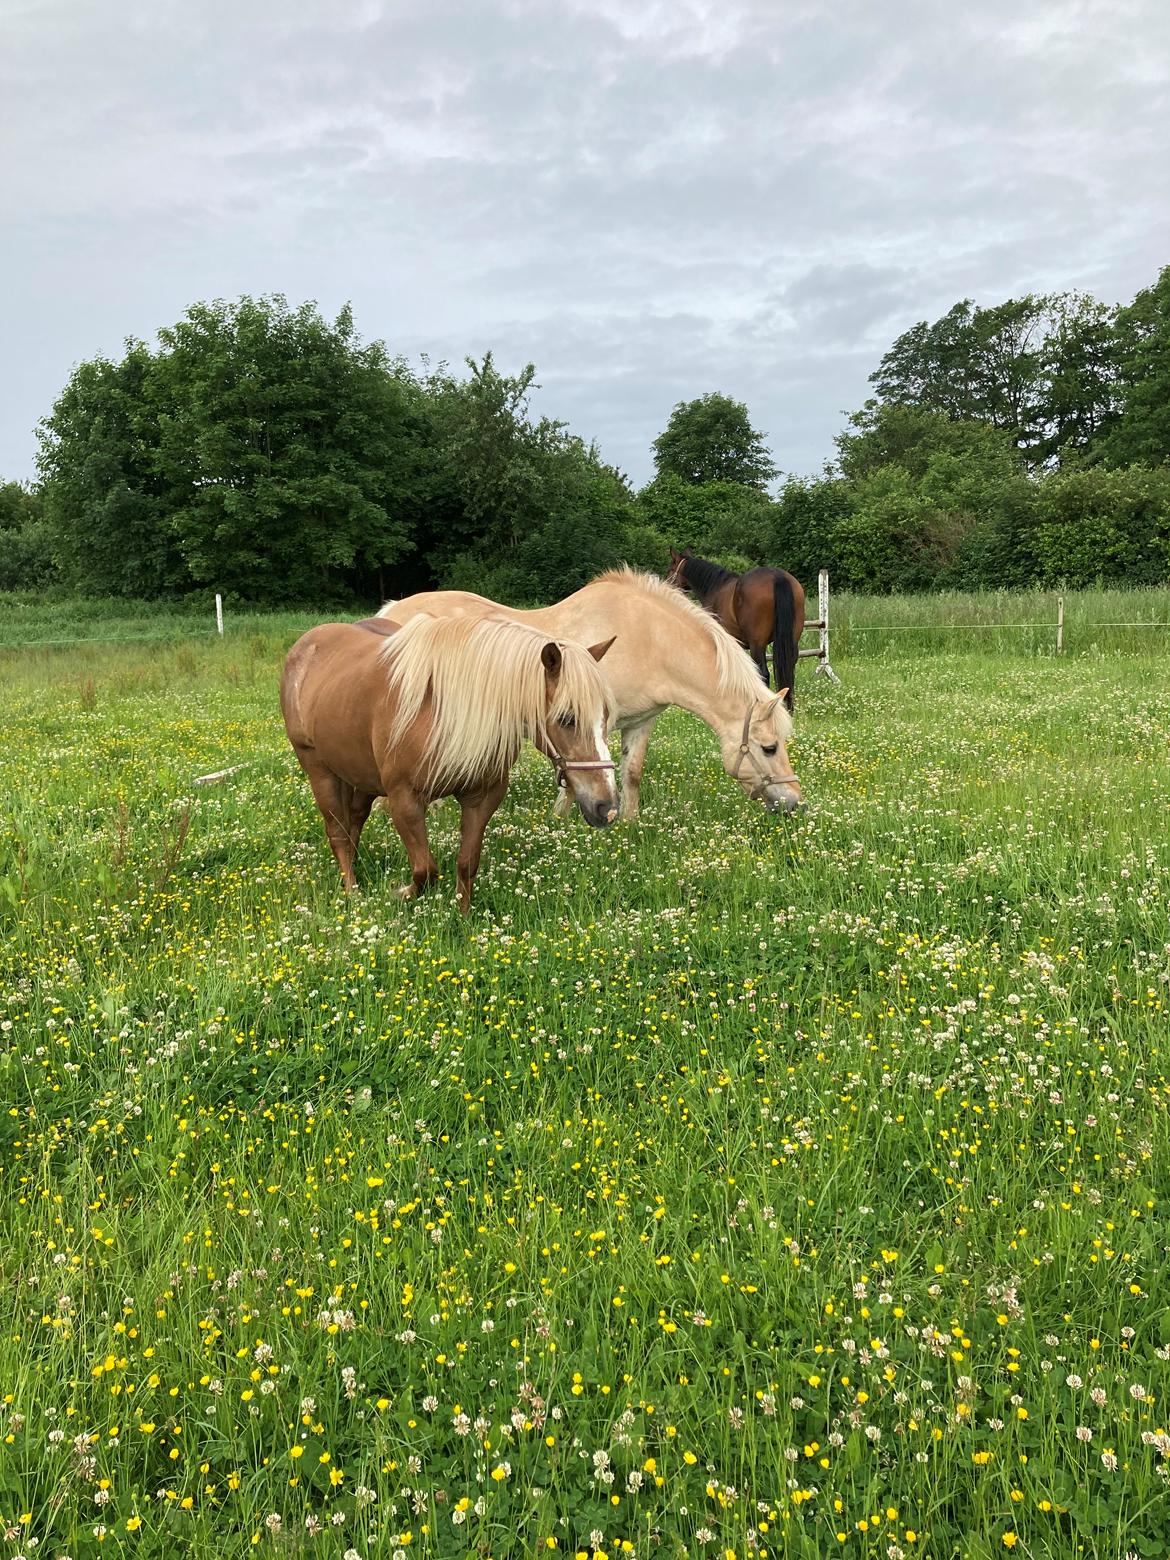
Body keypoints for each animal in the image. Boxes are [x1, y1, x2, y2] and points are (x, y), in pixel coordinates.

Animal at [280, 611, 617, 911]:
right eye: (567, 718)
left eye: (605, 715)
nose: (607, 807)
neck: (443, 709)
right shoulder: (405, 800)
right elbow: (425, 870)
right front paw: (399, 893)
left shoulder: (481, 798)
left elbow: (467, 864)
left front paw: (463, 918)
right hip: (319, 770)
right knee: (337, 832)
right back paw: (353, 892)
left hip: (361, 776)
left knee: (354, 822)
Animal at [380, 570, 804, 817]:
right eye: (769, 748)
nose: (794, 801)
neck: (648, 637)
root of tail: (392, 611)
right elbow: (579, 772)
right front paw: (562, 819)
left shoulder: (640, 722)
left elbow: (631, 772)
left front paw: (630, 825)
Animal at [667, 549, 804, 714]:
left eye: (670, 570)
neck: (716, 588)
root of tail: (778, 577)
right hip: (792, 641)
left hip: (757, 644)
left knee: (764, 673)